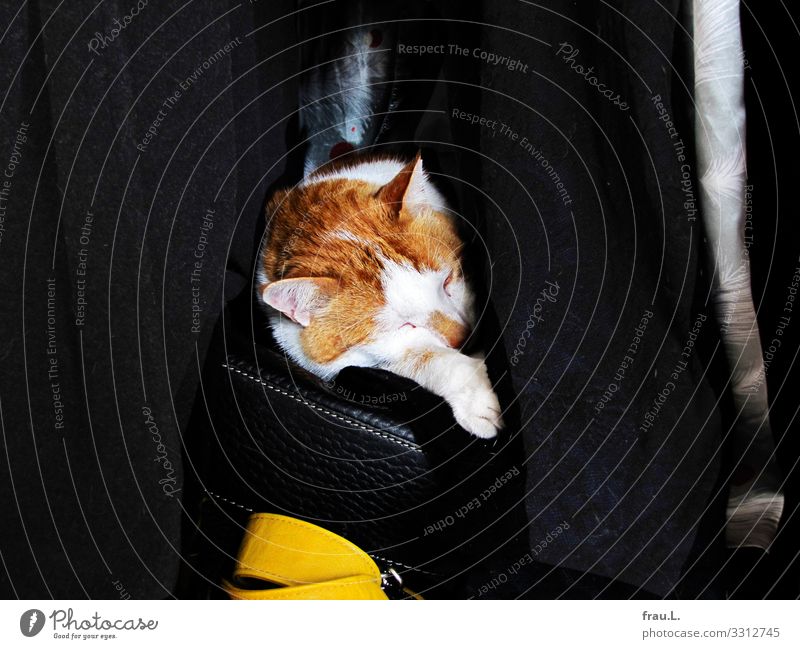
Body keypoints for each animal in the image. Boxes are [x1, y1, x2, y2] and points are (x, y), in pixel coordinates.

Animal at [256, 152, 504, 438]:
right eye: (404, 325)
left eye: (447, 281)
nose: (465, 338)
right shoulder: (338, 363)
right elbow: (418, 358)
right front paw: (476, 396)